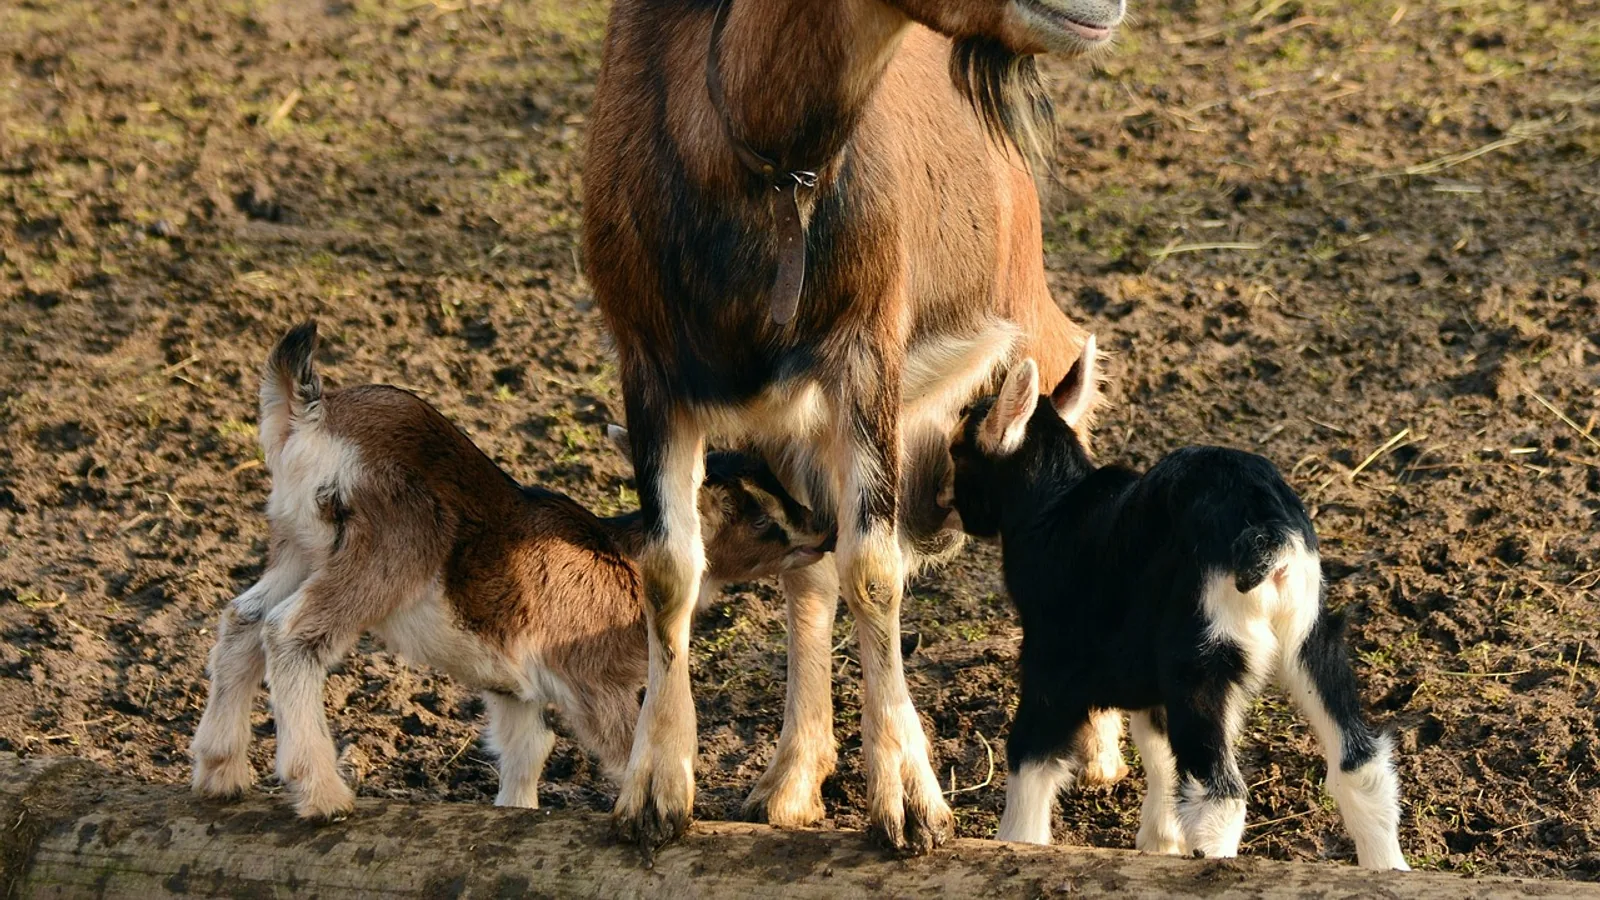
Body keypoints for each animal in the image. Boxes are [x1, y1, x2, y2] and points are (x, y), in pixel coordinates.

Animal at [189, 322, 832, 821]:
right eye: (759, 517)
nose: (823, 529)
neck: (622, 558)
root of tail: (312, 416)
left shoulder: (513, 685)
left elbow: (527, 752)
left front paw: (514, 812)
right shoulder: (590, 678)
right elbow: (627, 747)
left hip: (298, 545)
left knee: (244, 619)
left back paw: (221, 772)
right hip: (389, 546)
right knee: (290, 633)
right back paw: (323, 795)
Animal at [584, 0, 1126, 851]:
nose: (1107, 9)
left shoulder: (868, 348)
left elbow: (872, 569)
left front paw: (909, 800)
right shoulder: (649, 362)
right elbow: (671, 569)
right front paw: (654, 793)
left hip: (1025, 312)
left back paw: (1099, 749)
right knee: (809, 568)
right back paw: (792, 776)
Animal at [943, 337, 1409, 870]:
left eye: (957, 450)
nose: (941, 507)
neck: (1056, 506)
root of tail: (1265, 531)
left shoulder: (1051, 664)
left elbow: (1030, 759)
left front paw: (1016, 844)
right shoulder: (1150, 679)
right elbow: (1159, 751)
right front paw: (1160, 843)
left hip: (1203, 656)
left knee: (1221, 793)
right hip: (1311, 638)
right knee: (1360, 765)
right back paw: (1388, 869)